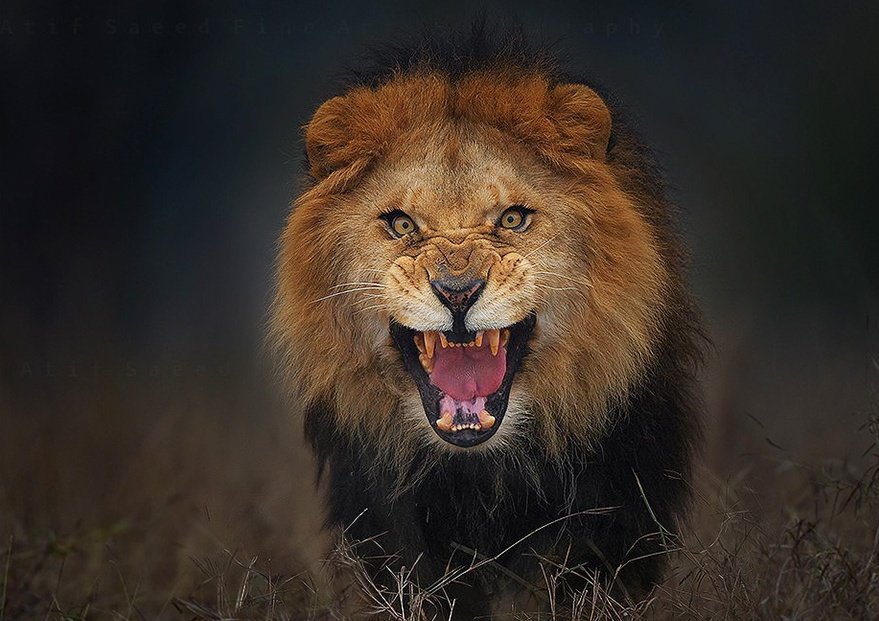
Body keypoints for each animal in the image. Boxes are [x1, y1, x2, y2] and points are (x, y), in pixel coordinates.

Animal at [272, 27, 702, 618]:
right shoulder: (393, 530)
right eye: (401, 224)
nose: (458, 292)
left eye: (513, 219)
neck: (483, 474)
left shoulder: (616, 515)